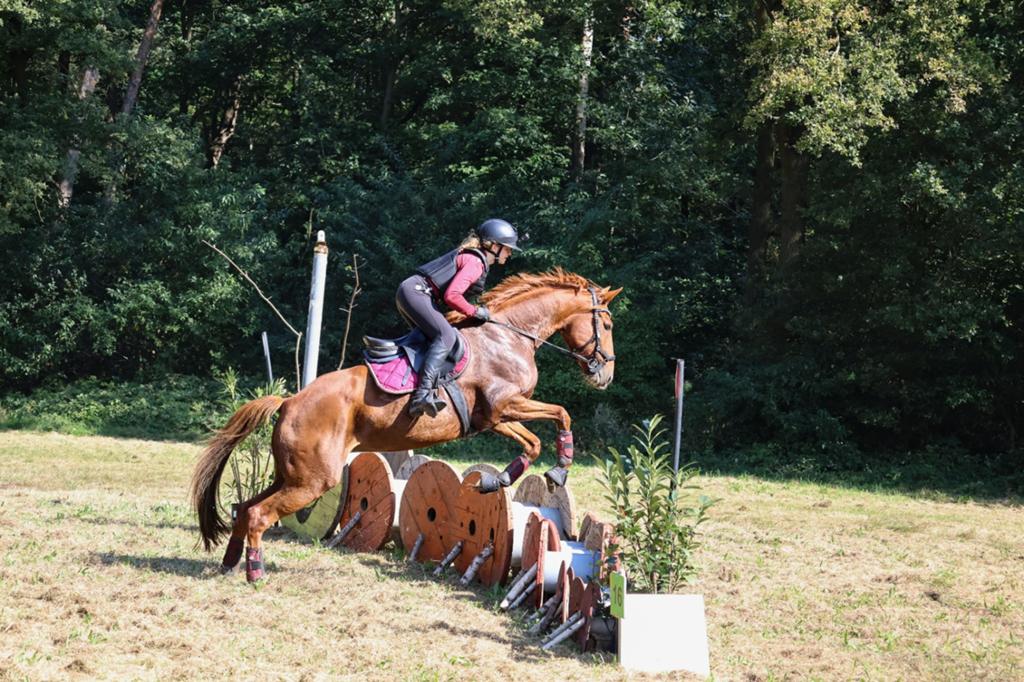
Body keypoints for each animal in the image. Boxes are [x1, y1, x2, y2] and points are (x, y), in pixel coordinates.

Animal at [190, 268, 621, 581]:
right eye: (608, 325)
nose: (606, 377)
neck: (508, 337)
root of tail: (289, 401)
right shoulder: (504, 407)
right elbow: (559, 415)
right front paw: (554, 471)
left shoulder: (494, 418)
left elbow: (538, 437)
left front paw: (497, 480)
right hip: (312, 480)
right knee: (259, 515)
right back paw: (254, 573)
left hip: (292, 474)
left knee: (245, 508)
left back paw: (229, 565)